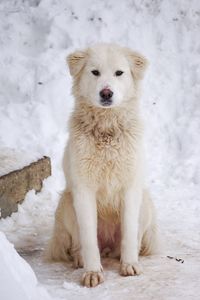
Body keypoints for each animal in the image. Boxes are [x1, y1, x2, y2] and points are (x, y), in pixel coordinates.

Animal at [47, 43, 159, 288]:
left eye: (119, 73)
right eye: (95, 72)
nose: (106, 93)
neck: (107, 131)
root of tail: (107, 246)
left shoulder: (130, 189)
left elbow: (129, 234)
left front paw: (129, 265)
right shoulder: (83, 191)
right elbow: (89, 239)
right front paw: (92, 273)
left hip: (145, 201)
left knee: (133, 240)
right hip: (67, 202)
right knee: (78, 245)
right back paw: (81, 259)